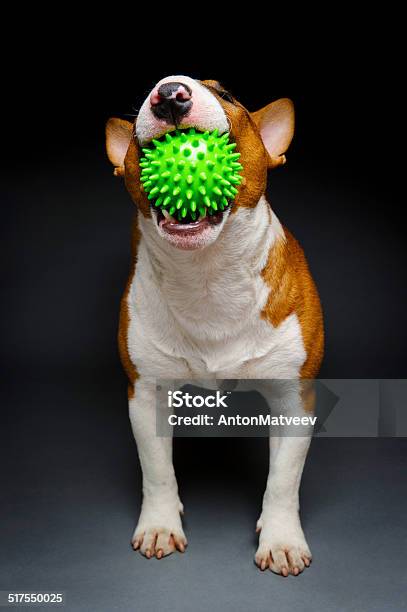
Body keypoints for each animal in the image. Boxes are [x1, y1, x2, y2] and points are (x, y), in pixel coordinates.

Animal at [106, 75, 326, 572]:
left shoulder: (295, 397)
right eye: (148, 94)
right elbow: (157, 470)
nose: (169, 94)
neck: (206, 275)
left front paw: (282, 539)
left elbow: (284, 478)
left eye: (226, 95)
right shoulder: (144, 391)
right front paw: (159, 525)